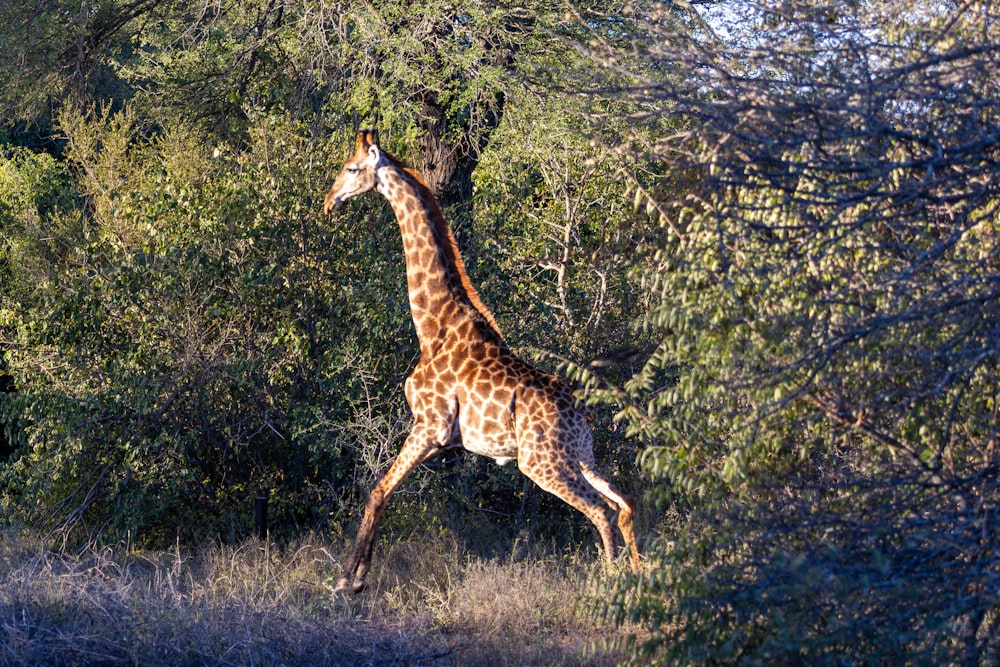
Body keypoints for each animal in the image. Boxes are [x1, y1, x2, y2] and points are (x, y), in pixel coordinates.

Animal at [324, 130, 644, 596]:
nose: (329, 201)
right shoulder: (441, 438)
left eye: (351, 168)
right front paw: (355, 575)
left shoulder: (430, 427)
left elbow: (377, 491)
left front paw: (350, 579)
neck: (433, 326)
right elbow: (381, 491)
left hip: (541, 462)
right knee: (623, 503)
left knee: (600, 510)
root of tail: (578, 401)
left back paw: (610, 586)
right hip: (580, 456)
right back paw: (638, 577)